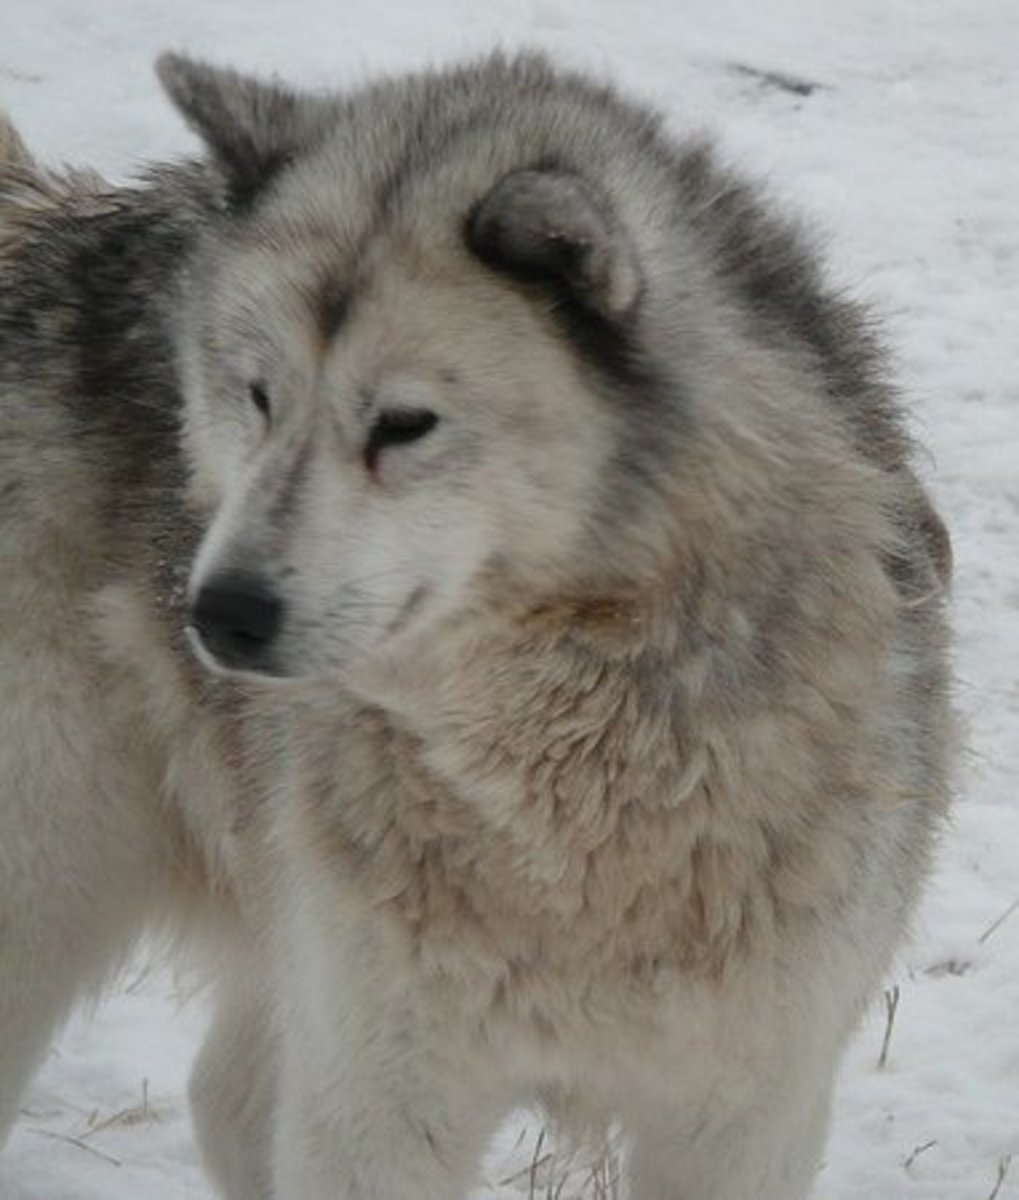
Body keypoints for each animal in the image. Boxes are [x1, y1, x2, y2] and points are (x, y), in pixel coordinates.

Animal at [1, 54, 955, 1200]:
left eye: (404, 425)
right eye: (258, 396)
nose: (216, 612)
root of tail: (45, 220)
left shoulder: (743, 1111)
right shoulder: (378, 1096)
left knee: (223, 1096)